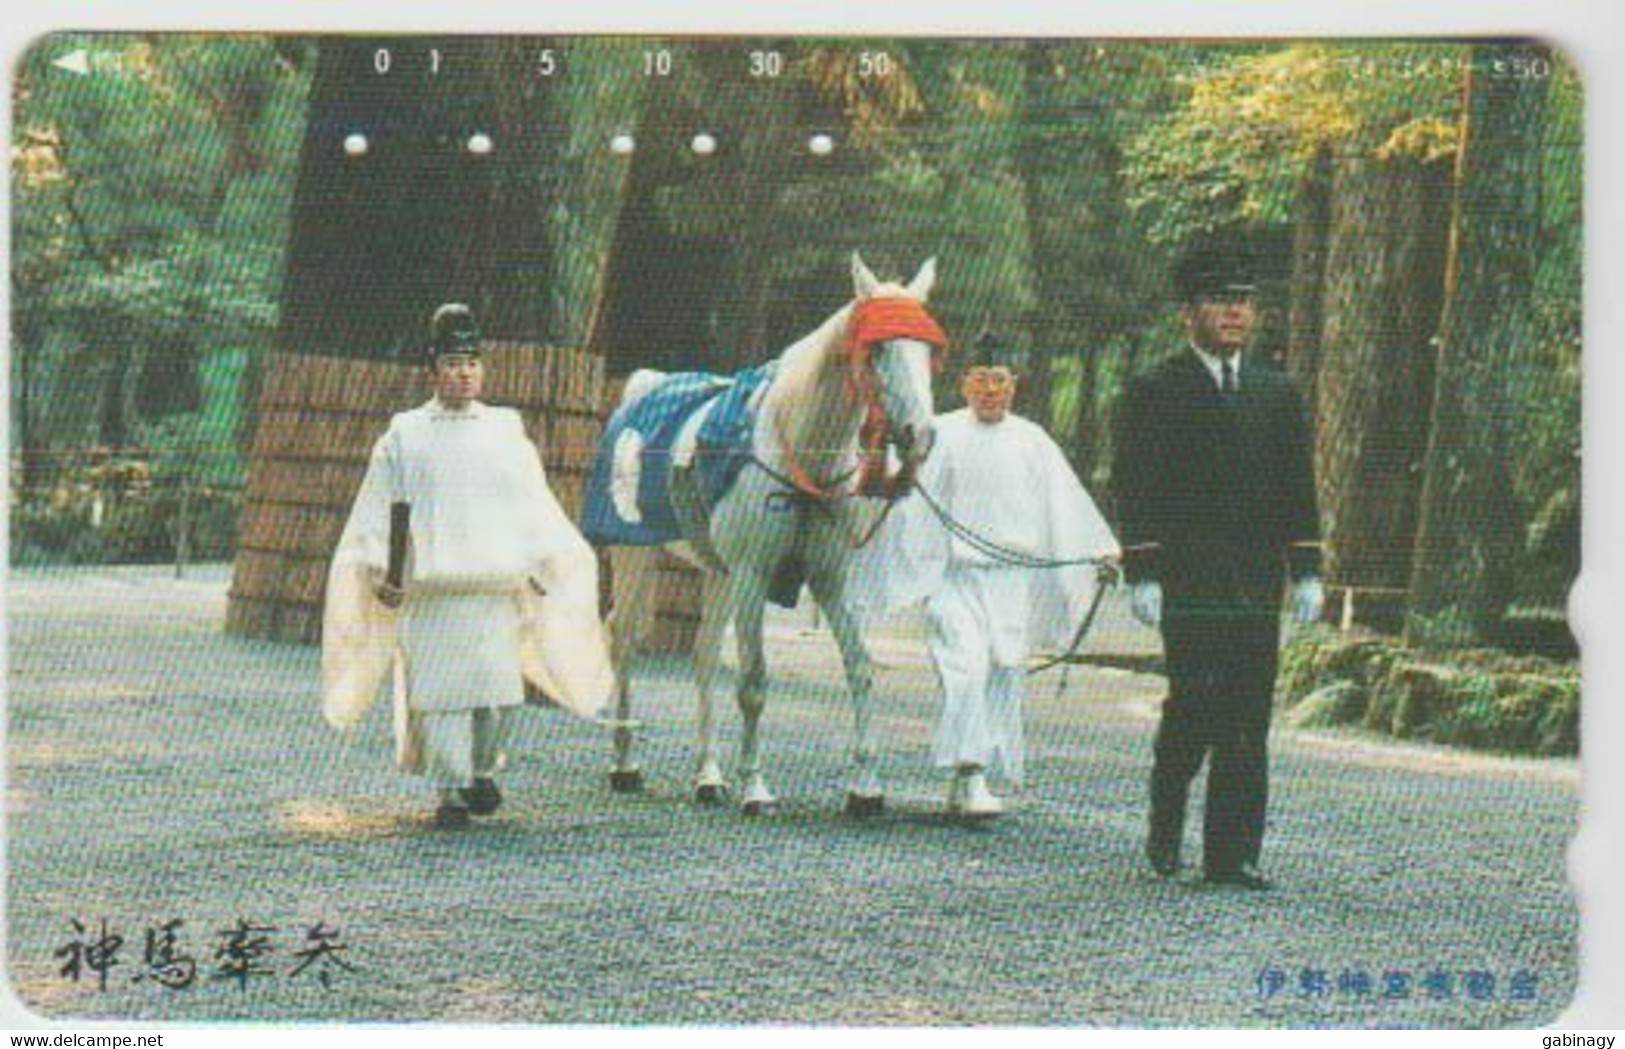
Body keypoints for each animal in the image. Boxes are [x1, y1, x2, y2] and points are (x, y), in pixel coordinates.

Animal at [604, 256, 949, 821]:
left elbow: (859, 668)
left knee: (703, 653)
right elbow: (753, 683)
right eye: (876, 349)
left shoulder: (828, 580)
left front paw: (866, 786)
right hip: (636, 556)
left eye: (927, 351)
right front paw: (756, 786)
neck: (799, 451)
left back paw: (707, 774)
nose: (920, 435)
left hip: (716, 572)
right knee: (623, 639)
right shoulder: (753, 575)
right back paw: (625, 762)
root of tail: (640, 389)